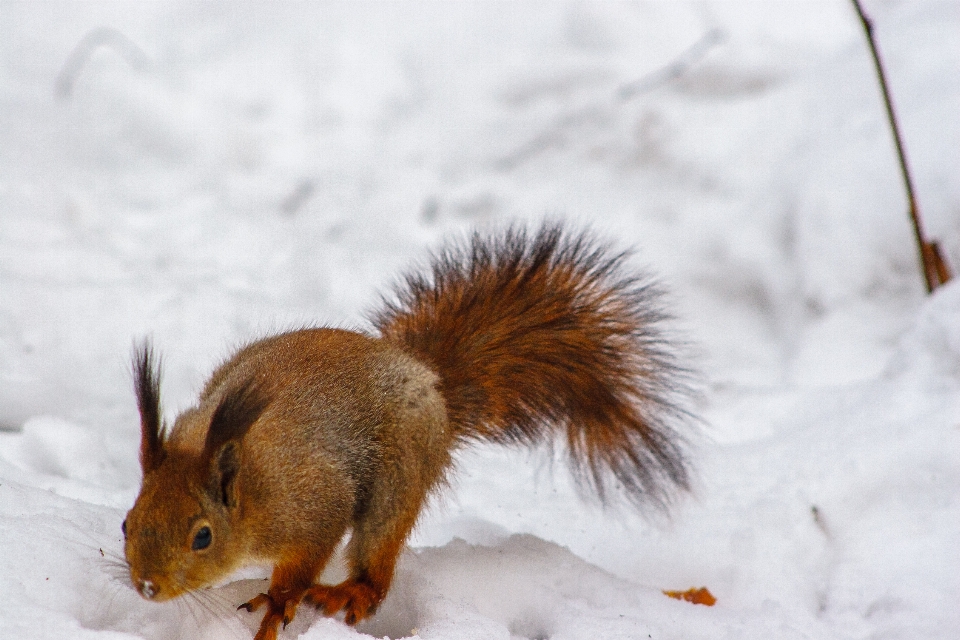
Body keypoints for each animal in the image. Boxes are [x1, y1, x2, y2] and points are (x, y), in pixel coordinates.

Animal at [120, 221, 692, 640]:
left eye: (202, 536)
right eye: (127, 523)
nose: (146, 587)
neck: (246, 478)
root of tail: (429, 377)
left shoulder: (314, 503)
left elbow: (306, 559)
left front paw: (278, 602)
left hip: (398, 480)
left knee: (377, 567)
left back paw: (350, 592)